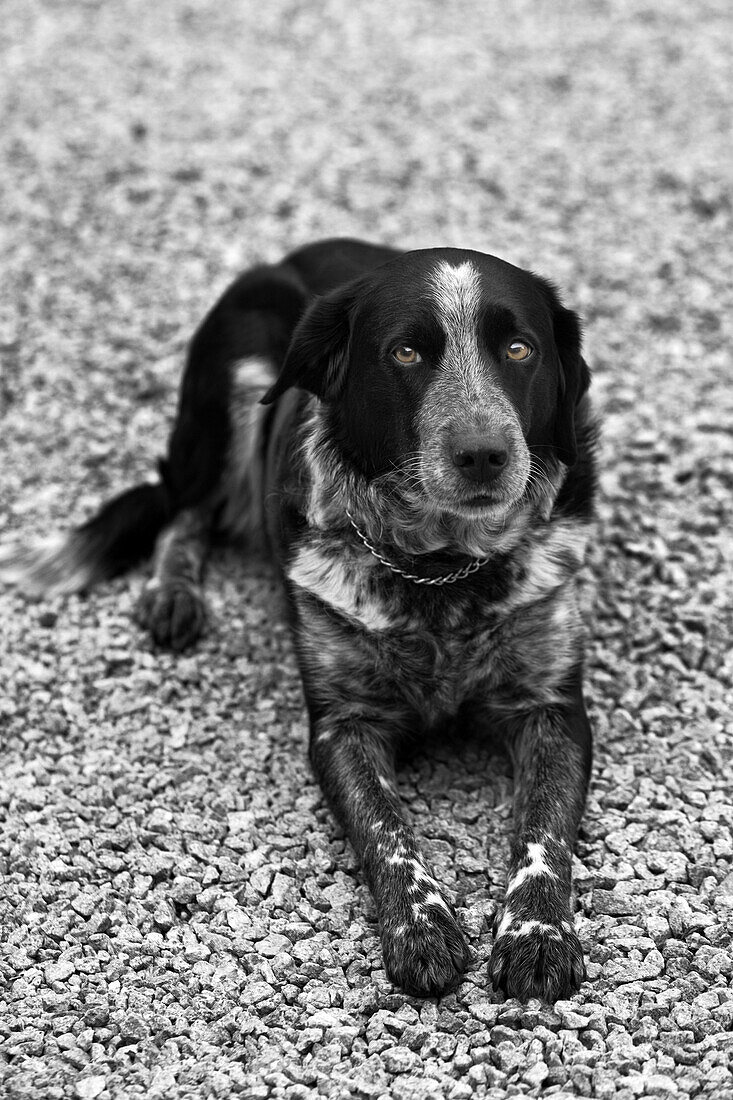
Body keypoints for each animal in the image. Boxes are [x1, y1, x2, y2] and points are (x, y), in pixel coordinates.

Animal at [0, 240, 598, 1007]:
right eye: (405, 352)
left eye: (520, 349)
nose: (484, 455)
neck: (441, 570)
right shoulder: (344, 724)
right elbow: (386, 829)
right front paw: (421, 928)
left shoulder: (551, 708)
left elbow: (543, 831)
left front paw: (536, 933)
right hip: (239, 372)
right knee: (188, 504)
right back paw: (173, 594)